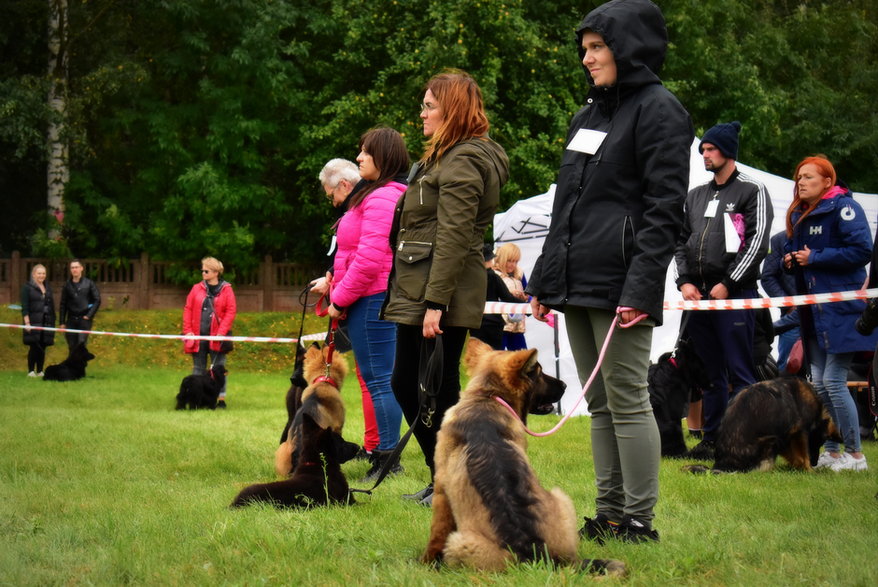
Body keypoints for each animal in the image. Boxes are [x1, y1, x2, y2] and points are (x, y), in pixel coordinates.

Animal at [422, 340, 628, 580]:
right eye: (536, 373)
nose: (565, 385)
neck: (486, 397)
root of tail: (543, 556)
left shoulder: (441, 491)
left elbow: (436, 533)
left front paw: (425, 563)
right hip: (562, 499)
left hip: (459, 542)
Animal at [684, 378, 844, 476]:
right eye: (819, 442)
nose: (815, 462)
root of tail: (723, 464)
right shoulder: (798, 432)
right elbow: (802, 456)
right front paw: (810, 470)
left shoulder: (787, 436)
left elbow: (795, 457)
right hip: (771, 441)